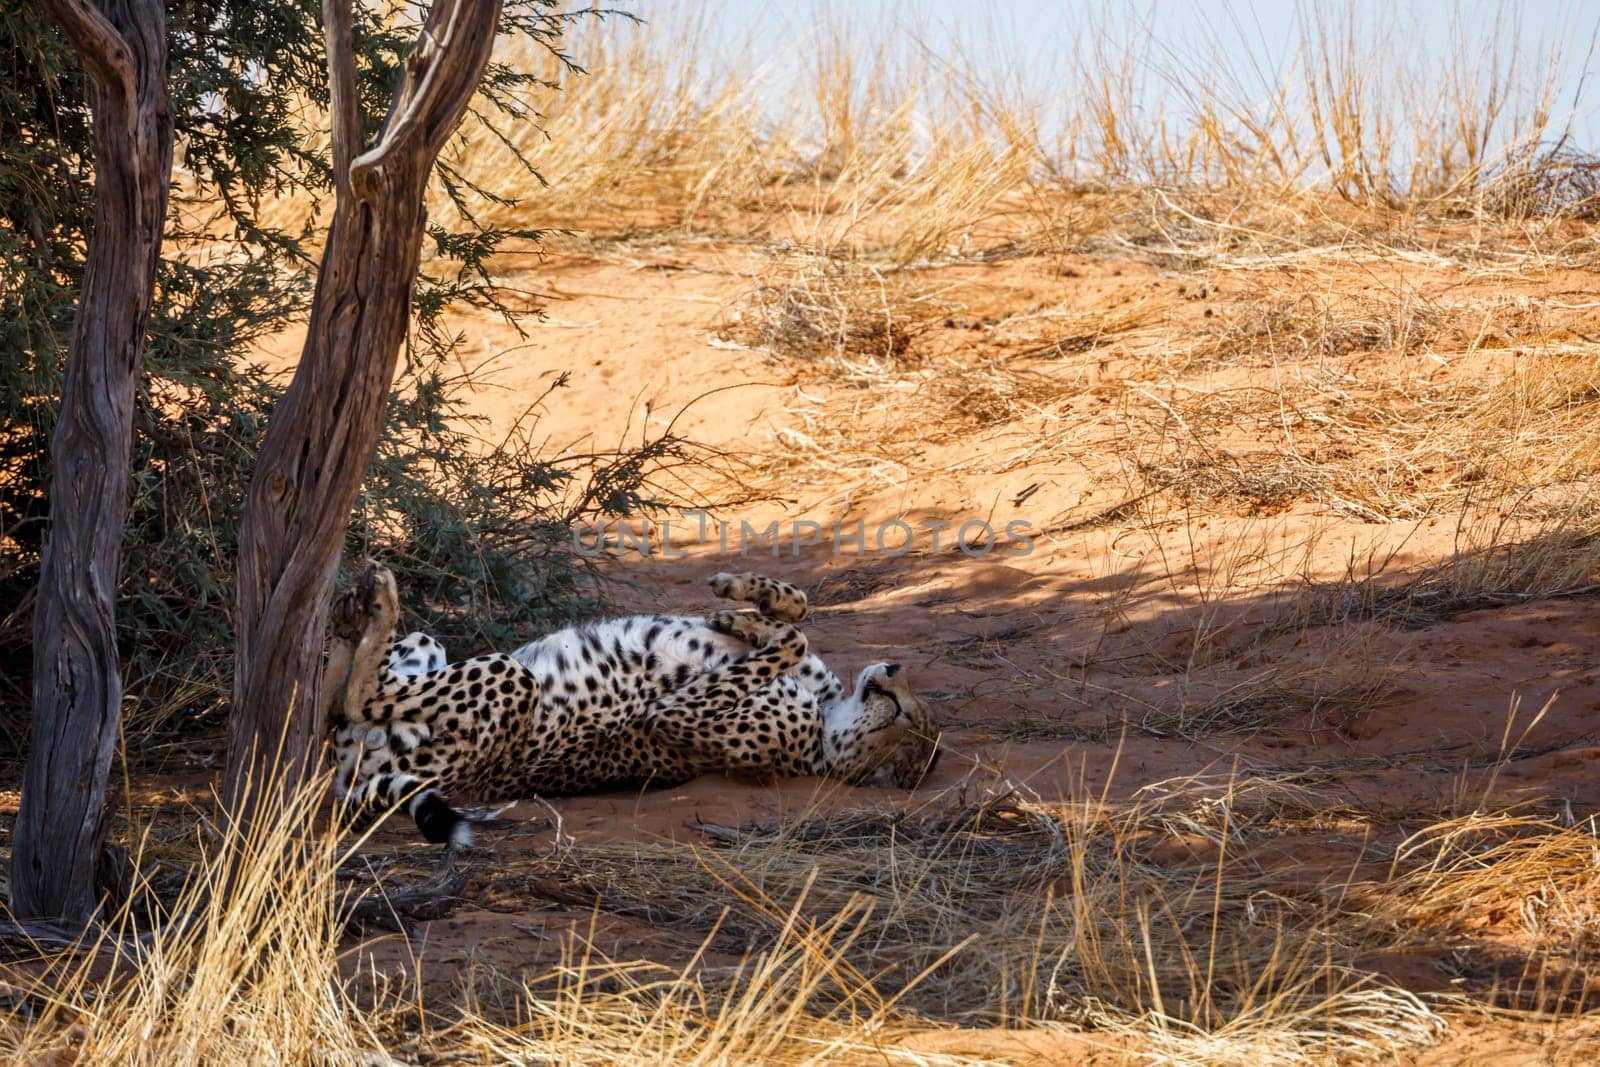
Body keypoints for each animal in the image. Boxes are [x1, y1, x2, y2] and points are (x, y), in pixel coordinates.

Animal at [321, 563, 934, 844]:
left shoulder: (677, 715)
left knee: (358, 698)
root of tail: (354, 776)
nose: (894, 670)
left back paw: (376, 600)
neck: (827, 723)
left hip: (509, 680)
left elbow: (795, 638)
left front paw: (746, 616)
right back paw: (346, 620)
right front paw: (744, 603)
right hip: (430, 649)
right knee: (345, 695)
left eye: (906, 716)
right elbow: (799, 614)